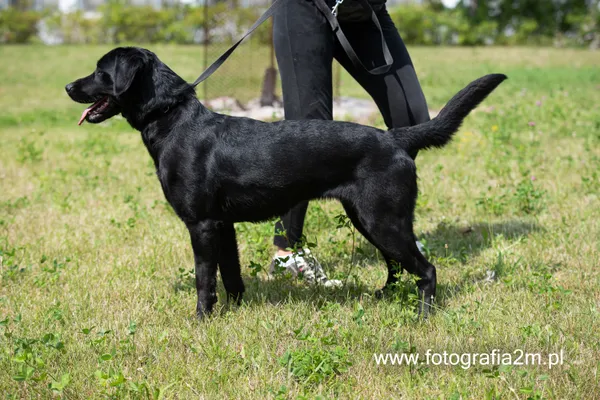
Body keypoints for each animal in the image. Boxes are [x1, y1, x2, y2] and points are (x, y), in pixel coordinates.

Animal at [65, 47, 506, 320]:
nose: (69, 86)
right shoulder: (223, 225)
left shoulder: (202, 225)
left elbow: (205, 280)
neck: (172, 119)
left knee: (425, 269)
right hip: (371, 219)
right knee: (397, 266)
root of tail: (396, 138)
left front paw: (201, 321)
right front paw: (235, 312)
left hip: (383, 220)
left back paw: (422, 316)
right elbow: (232, 276)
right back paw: (383, 298)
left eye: (101, 71)